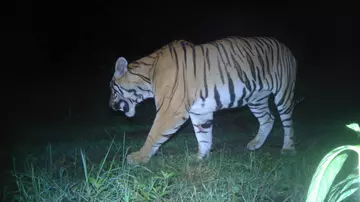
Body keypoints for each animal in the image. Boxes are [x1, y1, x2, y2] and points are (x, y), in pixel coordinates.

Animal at [109, 37, 298, 165]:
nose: (110, 106)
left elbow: (154, 134)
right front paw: (200, 157)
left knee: (288, 122)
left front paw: (138, 157)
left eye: (111, 89)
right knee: (268, 118)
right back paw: (255, 144)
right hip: (256, 99)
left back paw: (288, 149)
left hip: (283, 93)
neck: (147, 77)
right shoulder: (200, 111)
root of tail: (287, 49)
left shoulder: (170, 110)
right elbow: (203, 135)